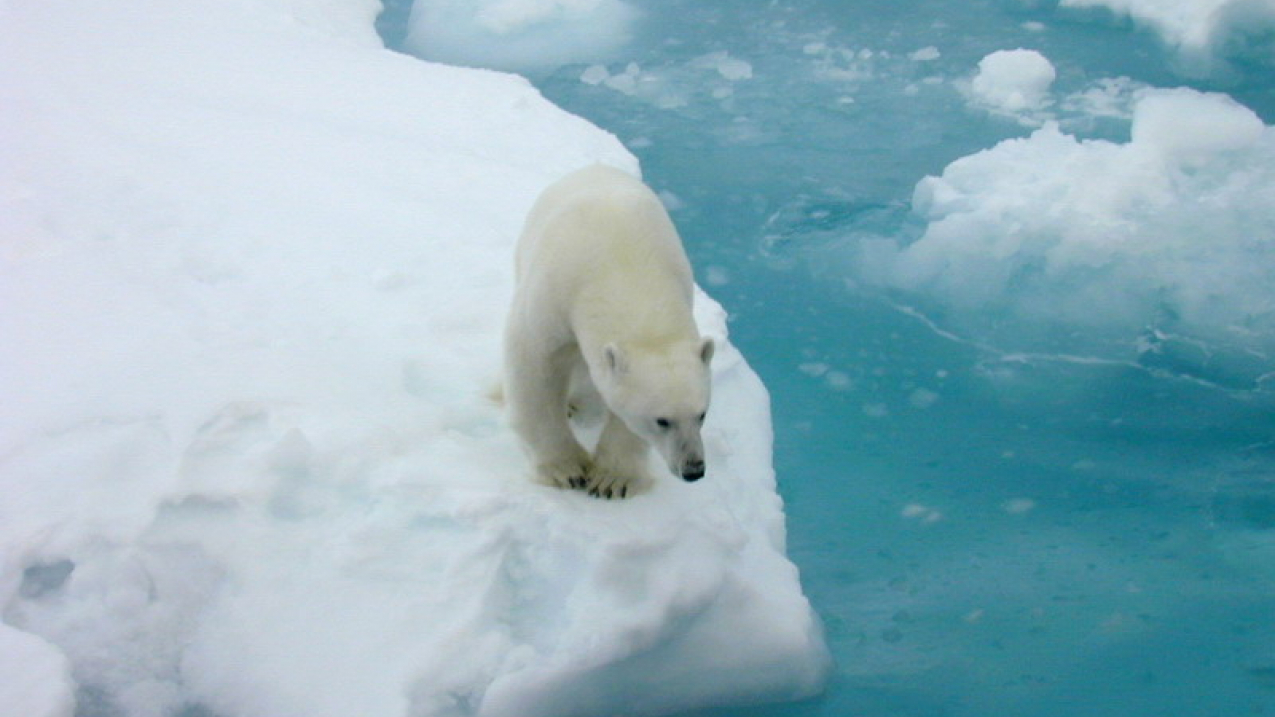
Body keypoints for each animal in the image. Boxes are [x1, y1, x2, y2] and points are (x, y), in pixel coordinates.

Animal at [503, 164, 714, 499]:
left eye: (702, 414)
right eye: (662, 420)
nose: (693, 469)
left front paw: (612, 479)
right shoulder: (554, 292)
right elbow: (535, 364)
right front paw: (565, 469)